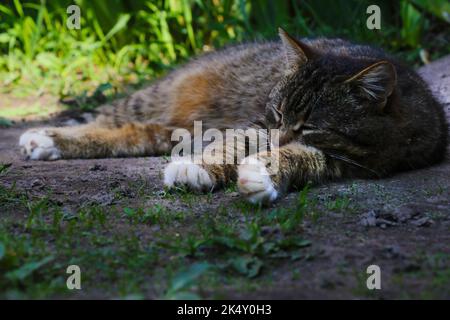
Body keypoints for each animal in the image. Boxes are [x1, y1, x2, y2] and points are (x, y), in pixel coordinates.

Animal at [18, 28, 446, 205]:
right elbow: (233, 143)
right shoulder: (257, 125)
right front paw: (199, 169)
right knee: (106, 117)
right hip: (153, 97)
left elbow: (298, 158)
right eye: (277, 113)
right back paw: (46, 137)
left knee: (131, 134)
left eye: (310, 126)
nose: (278, 137)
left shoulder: (349, 162)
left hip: (168, 130)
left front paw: (264, 174)